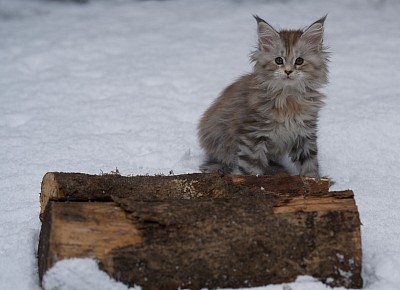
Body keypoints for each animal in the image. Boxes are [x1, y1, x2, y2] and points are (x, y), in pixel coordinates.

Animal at [198, 16, 330, 179]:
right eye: (279, 60)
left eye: (299, 61)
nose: (288, 71)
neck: (288, 99)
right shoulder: (253, 136)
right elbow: (251, 170)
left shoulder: (304, 134)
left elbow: (309, 165)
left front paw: (314, 180)